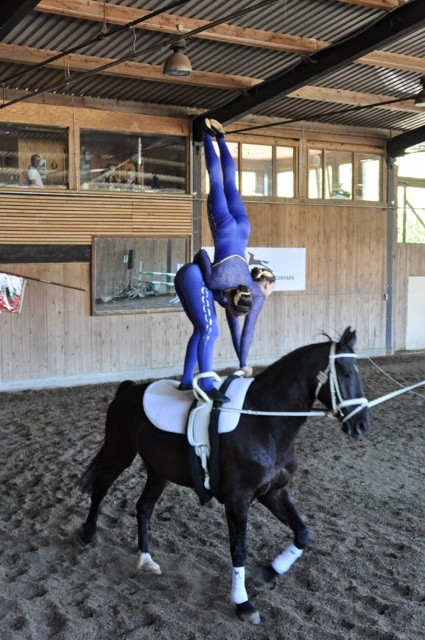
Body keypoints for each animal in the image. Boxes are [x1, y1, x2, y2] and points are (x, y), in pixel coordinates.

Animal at [78, 330, 368, 624]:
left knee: (143, 507)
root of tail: (128, 389)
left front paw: (267, 574)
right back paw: (87, 534)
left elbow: (302, 533)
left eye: (358, 371)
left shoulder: (273, 492)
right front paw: (243, 604)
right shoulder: (237, 498)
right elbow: (239, 549)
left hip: (158, 471)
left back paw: (145, 559)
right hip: (119, 453)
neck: (263, 421)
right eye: (345, 371)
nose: (361, 425)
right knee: (100, 488)